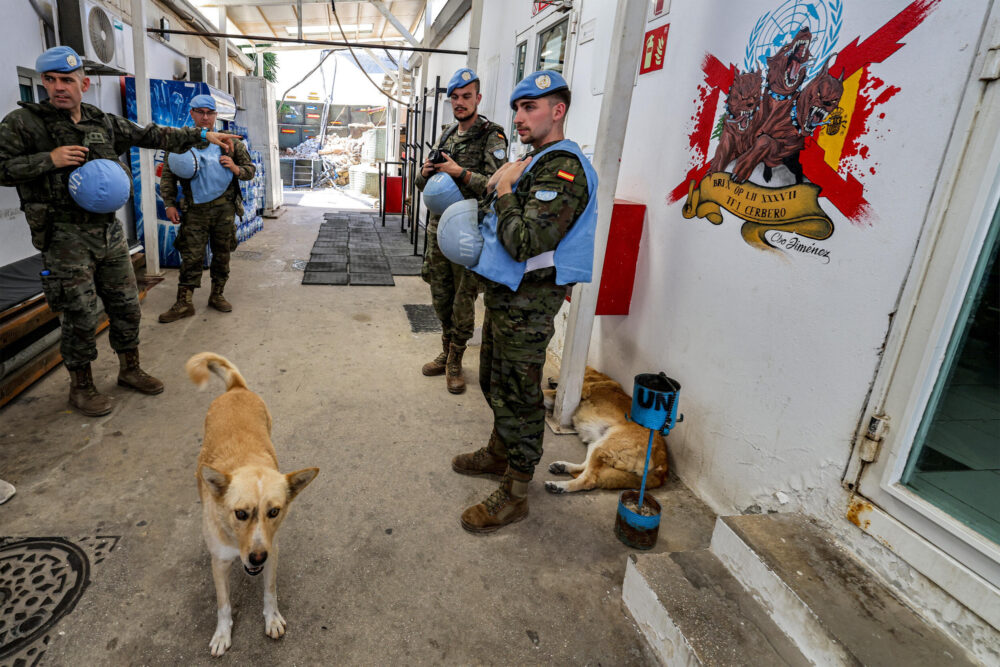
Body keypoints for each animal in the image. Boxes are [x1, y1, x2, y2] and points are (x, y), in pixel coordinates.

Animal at [184, 352, 316, 660]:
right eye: (240, 513)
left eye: (274, 512)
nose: (256, 558)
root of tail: (236, 389)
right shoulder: (220, 563)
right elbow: (223, 605)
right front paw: (222, 634)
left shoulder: (272, 551)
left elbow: (270, 591)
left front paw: (272, 618)